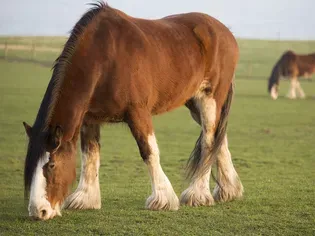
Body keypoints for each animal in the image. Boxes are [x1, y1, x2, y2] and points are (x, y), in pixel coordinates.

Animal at [22, 1, 244, 220]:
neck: (104, 57)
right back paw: (228, 190)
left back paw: (198, 194)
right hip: (194, 102)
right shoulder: (89, 119)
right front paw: (86, 199)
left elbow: (149, 151)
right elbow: (90, 155)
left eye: (51, 165)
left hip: (209, 99)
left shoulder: (138, 112)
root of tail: (226, 32)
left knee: (208, 141)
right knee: (218, 138)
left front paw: (163, 199)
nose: (39, 211)